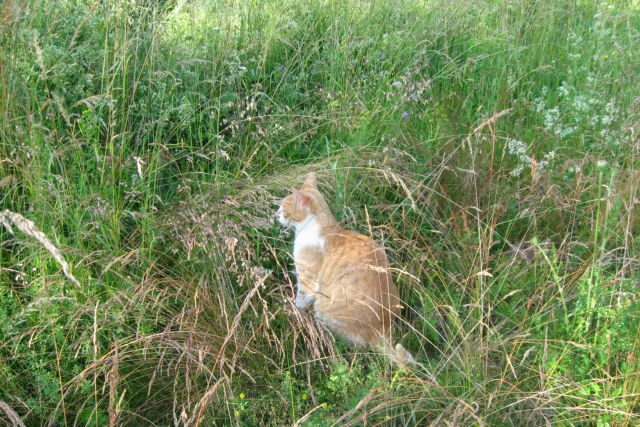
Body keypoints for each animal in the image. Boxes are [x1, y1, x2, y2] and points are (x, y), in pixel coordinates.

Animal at [278, 173, 412, 368]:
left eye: (283, 209)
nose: (276, 214)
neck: (321, 227)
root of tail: (381, 329)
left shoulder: (308, 281)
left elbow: (300, 301)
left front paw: (294, 312)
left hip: (323, 308)